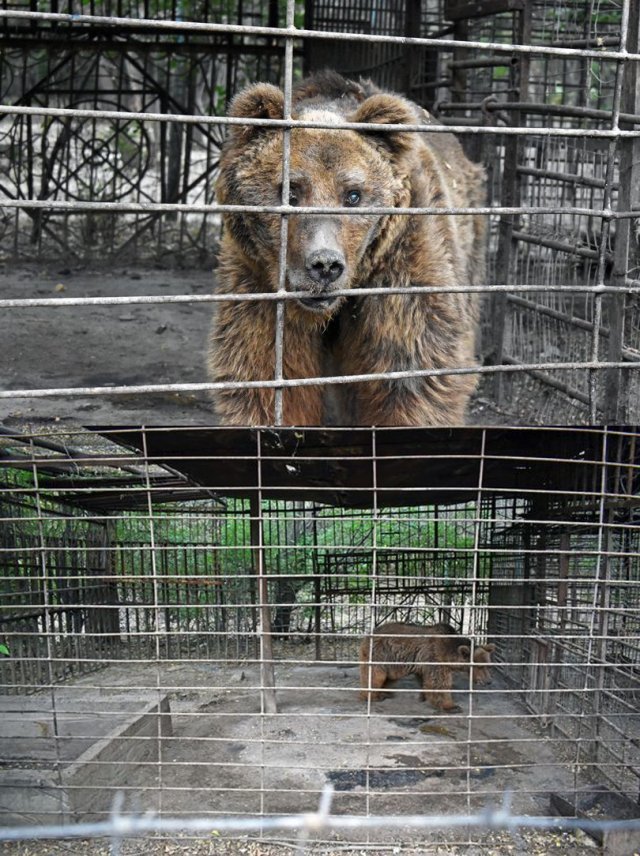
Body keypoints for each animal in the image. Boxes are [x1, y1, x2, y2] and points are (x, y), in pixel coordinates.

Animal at [208, 69, 488, 424]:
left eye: (353, 195)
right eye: (290, 192)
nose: (325, 265)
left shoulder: (402, 265)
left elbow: (413, 372)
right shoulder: (258, 278)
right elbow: (266, 370)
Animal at [358, 620, 498, 708]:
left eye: (488, 666)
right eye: (479, 667)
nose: (489, 681)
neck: (449, 653)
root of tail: (368, 634)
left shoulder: (424, 662)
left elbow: (425, 680)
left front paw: (423, 697)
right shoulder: (436, 658)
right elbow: (439, 683)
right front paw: (451, 706)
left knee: (388, 677)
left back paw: (385, 692)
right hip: (380, 653)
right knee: (376, 675)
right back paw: (373, 696)